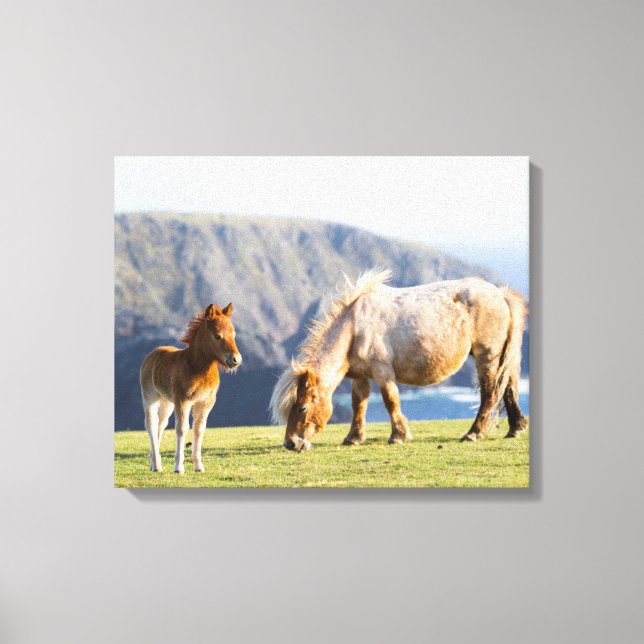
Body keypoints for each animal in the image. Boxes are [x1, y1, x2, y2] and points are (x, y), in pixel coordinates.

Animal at [139, 303, 242, 473]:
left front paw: (199, 466)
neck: (196, 367)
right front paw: (178, 467)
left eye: (234, 334)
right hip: (150, 397)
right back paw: (157, 466)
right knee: (151, 424)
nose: (236, 360)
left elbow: (199, 429)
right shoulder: (183, 401)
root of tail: (151, 354)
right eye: (217, 336)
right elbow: (182, 429)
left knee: (161, 424)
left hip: (167, 402)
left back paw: (153, 463)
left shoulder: (205, 402)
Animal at [270, 269, 527, 452]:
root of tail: (500, 294)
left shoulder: (383, 372)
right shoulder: (359, 377)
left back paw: (474, 433)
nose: (290, 443)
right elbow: (358, 404)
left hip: (487, 356)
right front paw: (354, 438)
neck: (355, 328)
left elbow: (390, 401)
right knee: (508, 387)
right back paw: (515, 428)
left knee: (491, 393)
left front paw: (398, 436)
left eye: (302, 406)